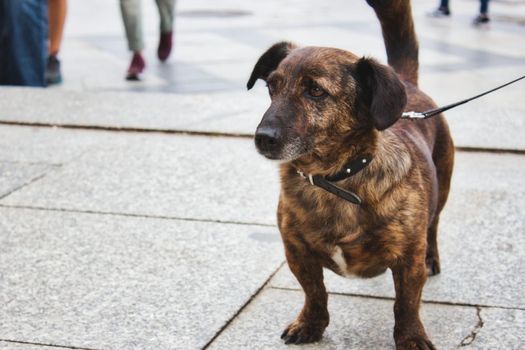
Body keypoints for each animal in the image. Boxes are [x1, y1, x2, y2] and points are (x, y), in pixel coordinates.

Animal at [248, 0, 452, 350]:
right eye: (271, 87)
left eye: (316, 91)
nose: (263, 138)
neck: (333, 180)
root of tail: (406, 83)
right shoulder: (297, 253)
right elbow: (315, 293)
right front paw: (311, 325)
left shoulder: (407, 261)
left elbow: (406, 304)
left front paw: (411, 337)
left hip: (443, 185)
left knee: (434, 222)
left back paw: (432, 256)